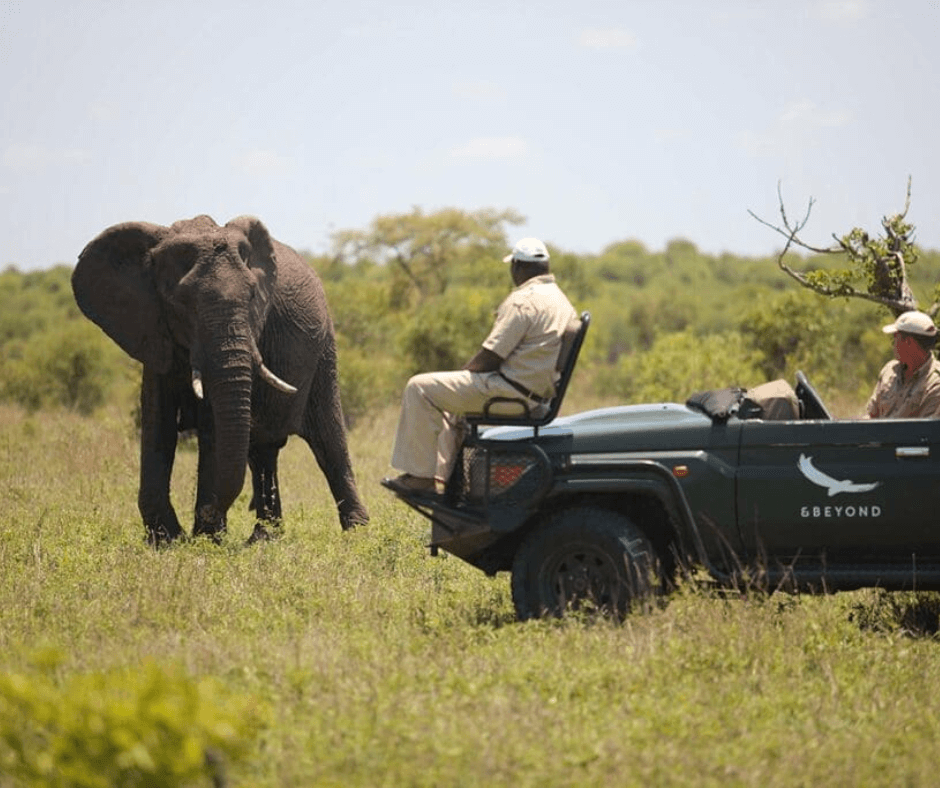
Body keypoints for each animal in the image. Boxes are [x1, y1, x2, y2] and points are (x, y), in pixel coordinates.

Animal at [72, 214, 369, 544]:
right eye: (182, 302)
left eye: (252, 296)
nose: (210, 513)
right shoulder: (153, 329)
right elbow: (157, 422)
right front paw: (166, 540)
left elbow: (212, 425)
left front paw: (205, 538)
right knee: (262, 453)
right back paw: (264, 538)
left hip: (324, 351)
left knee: (329, 442)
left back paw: (357, 533)